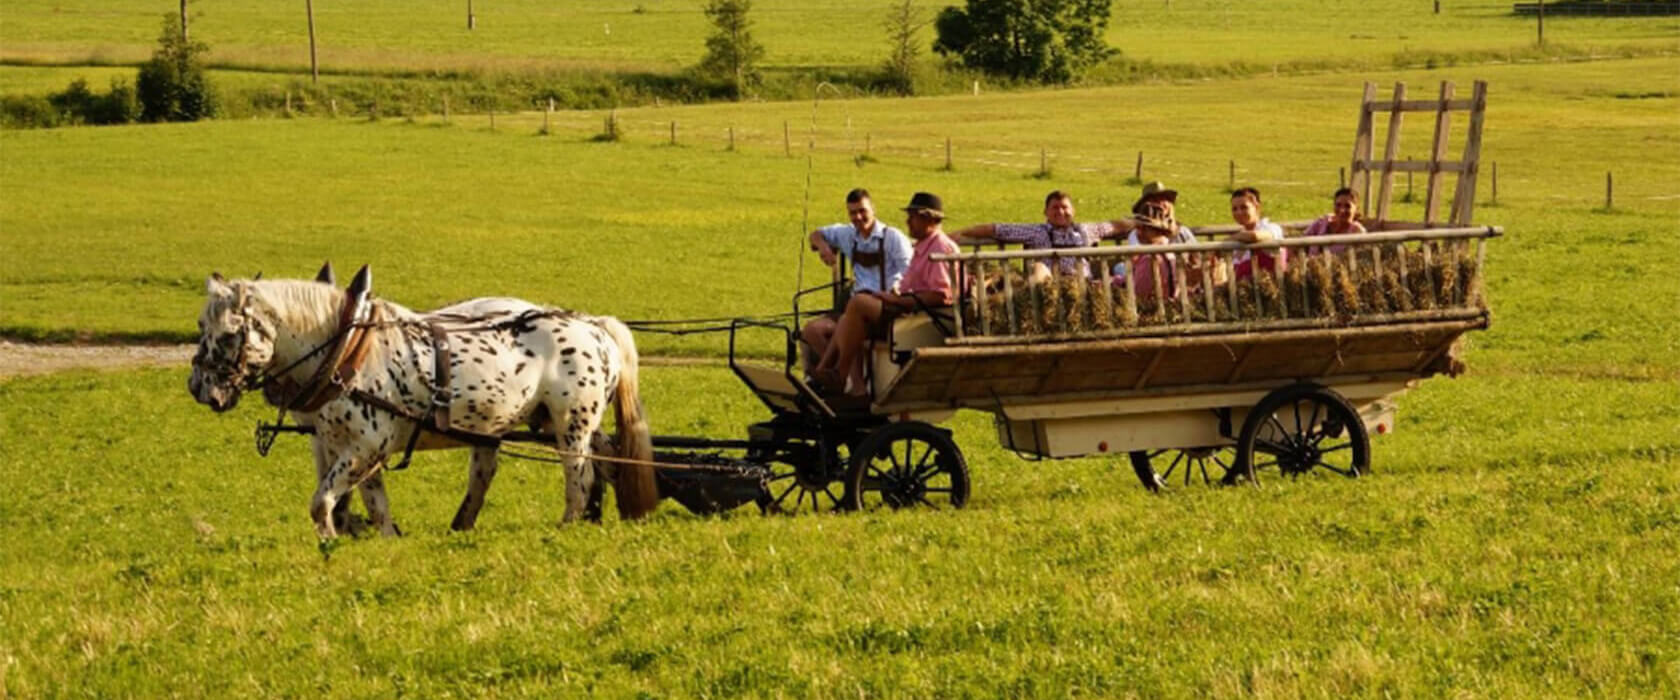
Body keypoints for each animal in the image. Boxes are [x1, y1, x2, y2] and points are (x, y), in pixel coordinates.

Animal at [183, 265, 655, 537]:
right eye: (200, 325)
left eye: (229, 333)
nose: (198, 387)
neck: (346, 350)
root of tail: (593, 326)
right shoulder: (345, 446)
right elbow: (370, 502)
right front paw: (382, 538)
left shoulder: (363, 447)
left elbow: (323, 500)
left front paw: (329, 542)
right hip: (565, 424)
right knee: (608, 462)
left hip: (571, 426)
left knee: (580, 478)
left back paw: (568, 525)